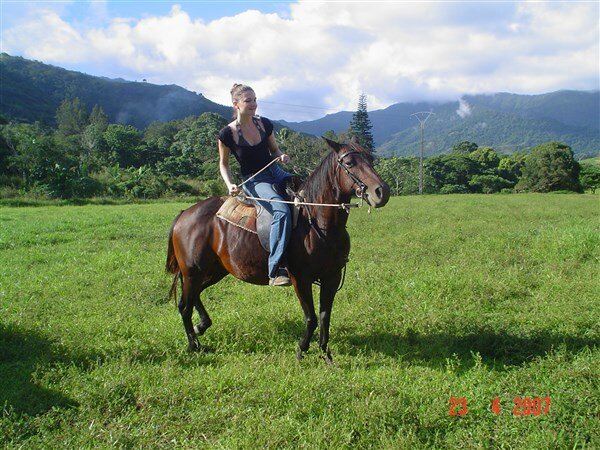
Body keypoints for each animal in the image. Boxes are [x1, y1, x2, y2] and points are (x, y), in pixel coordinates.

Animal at [165, 137, 390, 362]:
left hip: (213, 271)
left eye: (371, 159)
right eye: (350, 163)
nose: (382, 191)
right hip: (194, 272)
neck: (318, 221)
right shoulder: (301, 279)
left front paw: (326, 354)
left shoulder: (331, 278)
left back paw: (201, 326)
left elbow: (325, 317)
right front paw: (302, 349)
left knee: (193, 297)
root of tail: (184, 214)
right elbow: (311, 318)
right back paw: (195, 345)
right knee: (184, 306)